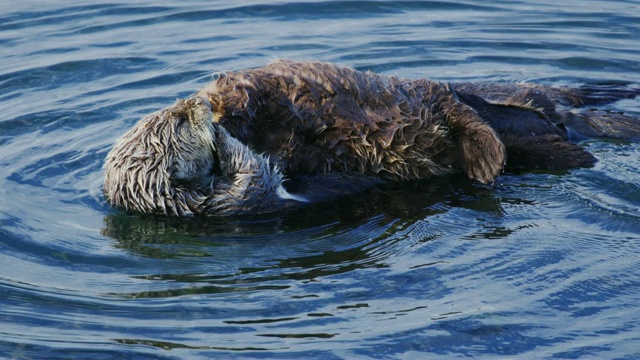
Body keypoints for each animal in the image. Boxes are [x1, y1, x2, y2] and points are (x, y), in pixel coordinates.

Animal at [102, 60, 636, 215]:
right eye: (177, 125)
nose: (192, 105)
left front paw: (221, 110)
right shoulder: (241, 200)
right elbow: (254, 172)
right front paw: (227, 132)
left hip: (463, 92)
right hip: (461, 116)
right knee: (495, 134)